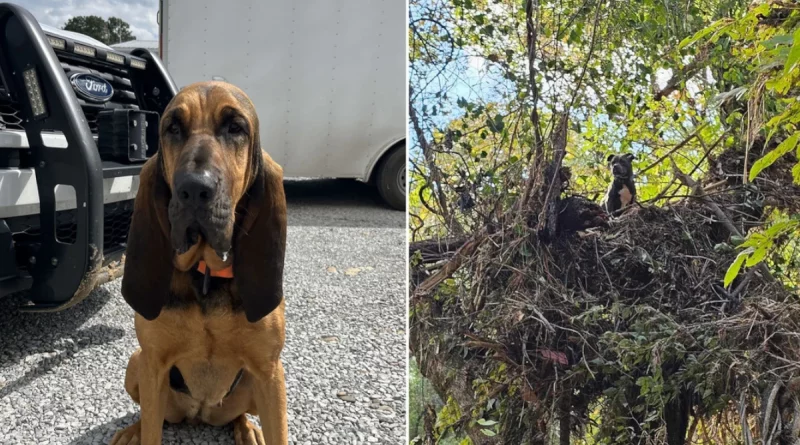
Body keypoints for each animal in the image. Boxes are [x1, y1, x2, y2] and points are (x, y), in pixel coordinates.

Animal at [111, 81, 290, 442]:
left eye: (236, 127)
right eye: (173, 128)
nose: (194, 189)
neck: (206, 275)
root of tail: (200, 415)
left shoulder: (269, 372)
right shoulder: (153, 365)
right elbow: (151, 430)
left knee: (238, 415)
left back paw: (246, 429)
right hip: (137, 366)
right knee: (150, 417)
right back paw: (132, 430)